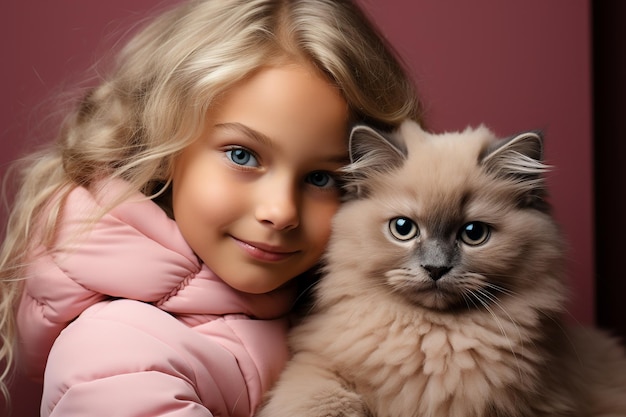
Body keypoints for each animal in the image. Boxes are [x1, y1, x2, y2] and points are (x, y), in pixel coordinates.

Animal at [258, 120, 624, 416]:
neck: (433, 341)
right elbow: (321, 400)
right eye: (403, 228)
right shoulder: (318, 365)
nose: (435, 269)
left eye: (473, 233)